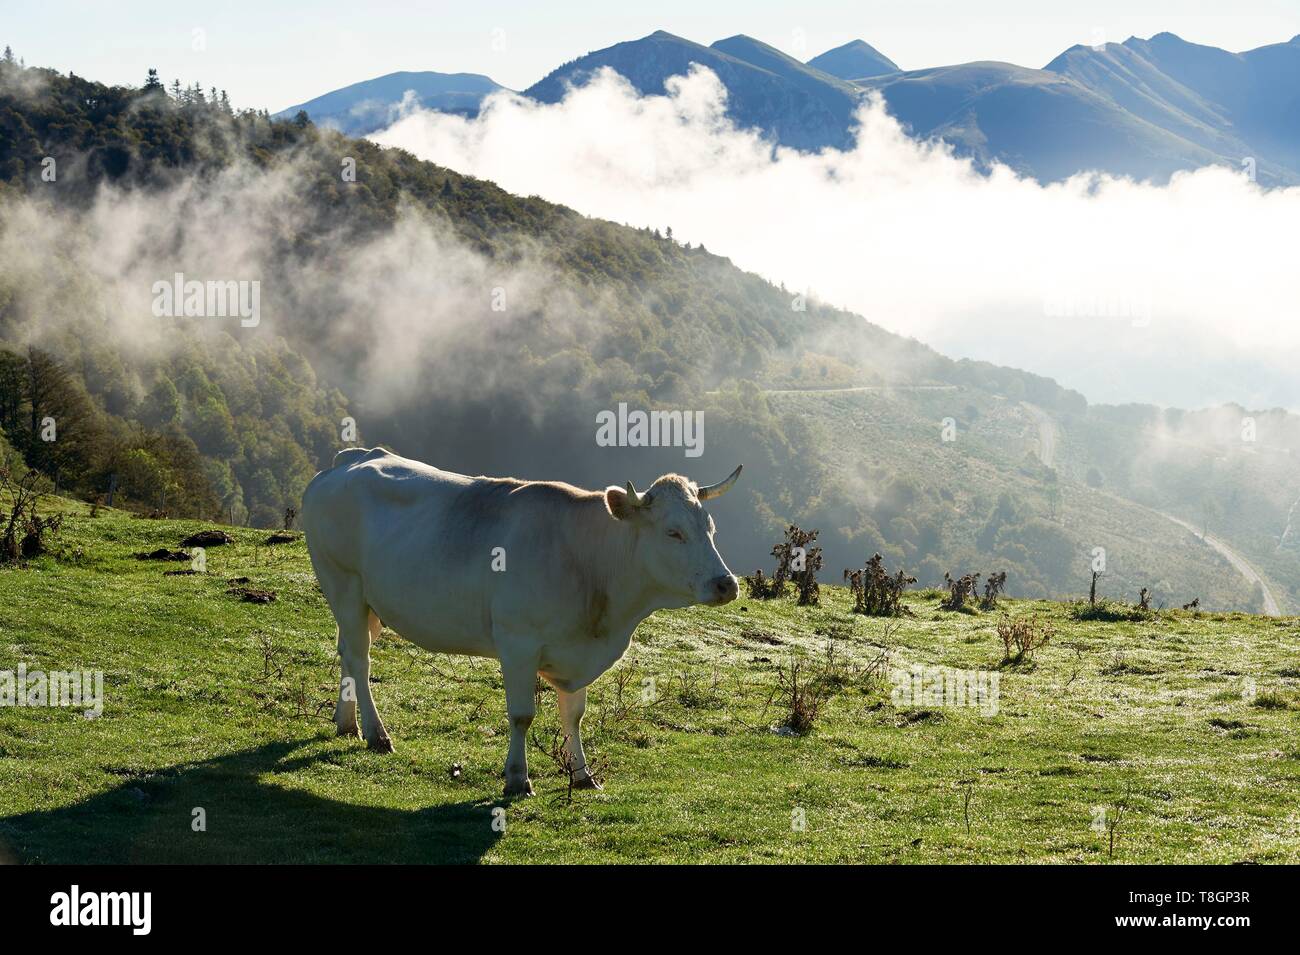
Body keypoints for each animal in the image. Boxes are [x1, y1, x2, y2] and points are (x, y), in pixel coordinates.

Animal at [300, 448, 742, 797]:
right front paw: (517, 778)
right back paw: (377, 734)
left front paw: (582, 775)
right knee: (360, 660)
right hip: (342, 582)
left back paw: (345, 723)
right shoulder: (517, 644)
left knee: (347, 652)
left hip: (364, 603)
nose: (726, 584)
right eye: (673, 533)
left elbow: (574, 715)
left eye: (710, 528)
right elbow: (522, 715)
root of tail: (353, 457)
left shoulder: (576, 651)